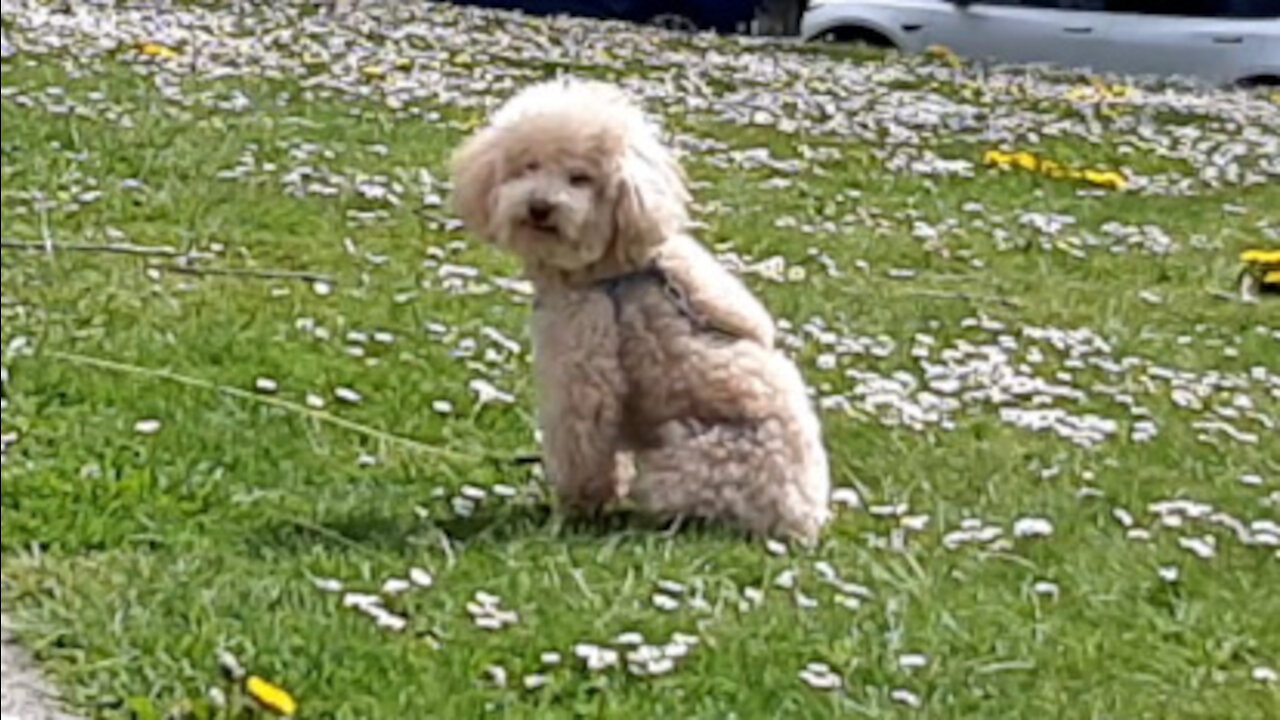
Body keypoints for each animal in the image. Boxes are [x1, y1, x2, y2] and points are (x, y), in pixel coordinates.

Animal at [450, 75, 829, 540]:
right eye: (528, 166)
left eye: (580, 178)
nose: (540, 207)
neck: (609, 269)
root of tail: (803, 521)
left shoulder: (582, 369)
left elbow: (581, 452)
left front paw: (575, 510)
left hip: (680, 462)